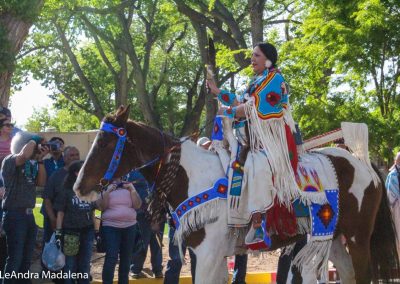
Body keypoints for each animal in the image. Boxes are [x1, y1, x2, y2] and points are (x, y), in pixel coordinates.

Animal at [73, 105, 398, 282]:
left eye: (105, 142)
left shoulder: (208, 252)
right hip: (331, 236)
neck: (190, 176)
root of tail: (363, 162)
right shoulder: (206, 253)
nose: (79, 187)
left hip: (358, 237)